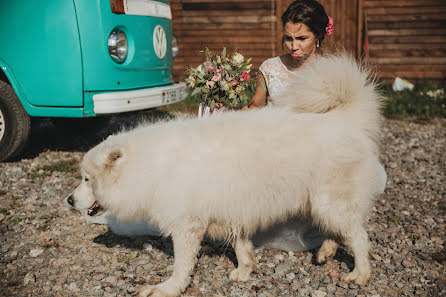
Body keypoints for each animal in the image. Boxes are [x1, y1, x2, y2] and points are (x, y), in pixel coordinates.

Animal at [66, 54, 384, 294]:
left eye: (86, 179)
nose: (69, 200)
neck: (149, 166)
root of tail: (343, 119)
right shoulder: (232, 209)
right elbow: (241, 246)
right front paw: (245, 271)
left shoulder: (187, 225)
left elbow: (182, 264)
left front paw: (168, 288)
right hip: (320, 203)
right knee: (338, 230)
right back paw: (326, 252)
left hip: (330, 201)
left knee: (358, 236)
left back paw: (360, 274)